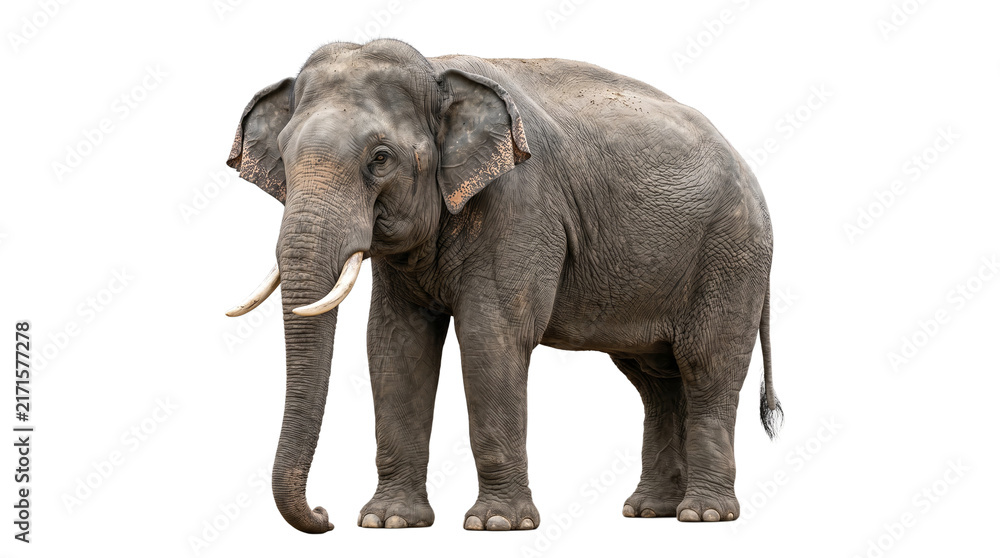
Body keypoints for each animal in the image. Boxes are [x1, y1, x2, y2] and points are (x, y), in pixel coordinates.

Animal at [224, 39, 782, 533]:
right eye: (284, 155)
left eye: (380, 158)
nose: (324, 515)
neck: (436, 68)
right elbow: (394, 345)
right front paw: (389, 522)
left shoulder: (520, 206)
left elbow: (491, 336)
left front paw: (495, 524)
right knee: (655, 380)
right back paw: (649, 512)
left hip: (731, 256)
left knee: (707, 366)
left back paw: (703, 515)